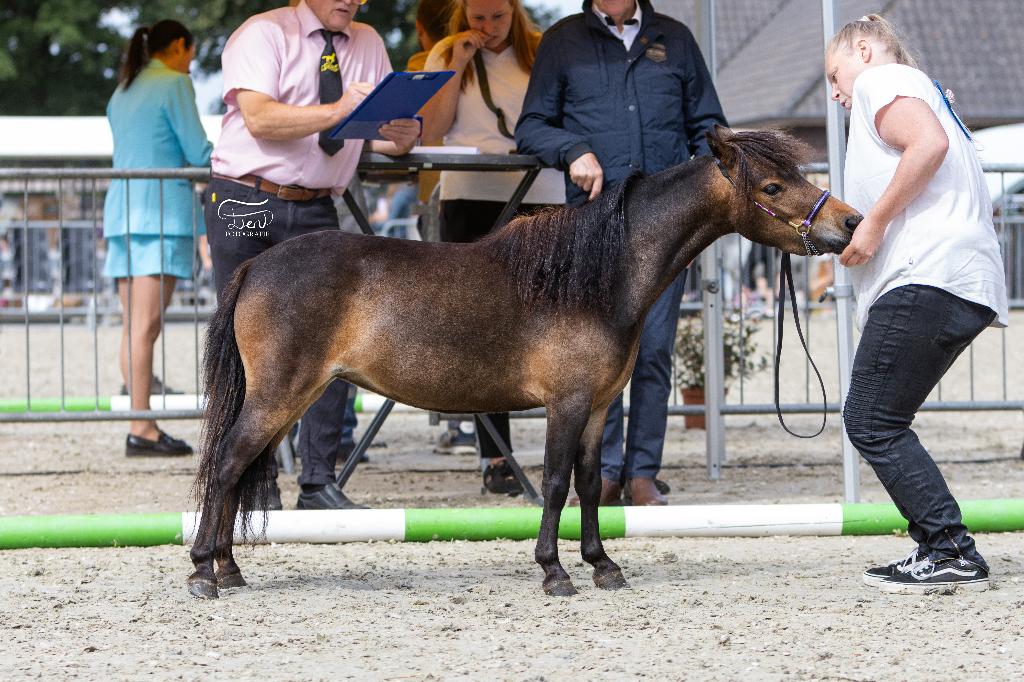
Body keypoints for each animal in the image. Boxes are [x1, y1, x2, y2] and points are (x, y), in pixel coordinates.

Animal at [188, 126, 862, 599]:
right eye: (771, 187)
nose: (850, 221)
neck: (595, 276)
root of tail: (258, 266)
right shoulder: (565, 404)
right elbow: (557, 483)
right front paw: (554, 571)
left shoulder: (597, 407)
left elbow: (590, 484)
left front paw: (602, 564)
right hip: (280, 394)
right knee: (226, 464)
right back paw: (202, 573)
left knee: (236, 468)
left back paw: (228, 568)